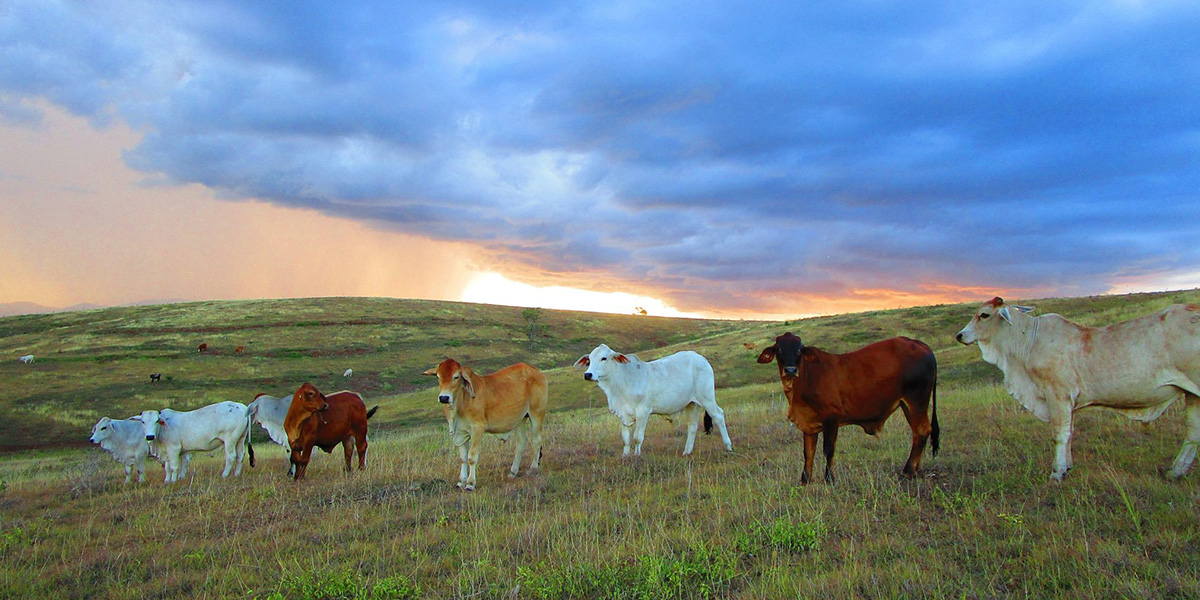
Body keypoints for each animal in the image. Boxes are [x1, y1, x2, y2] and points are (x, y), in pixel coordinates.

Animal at [422, 357, 549, 489]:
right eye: (438, 377)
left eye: (456, 376)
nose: (444, 398)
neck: (462, 400)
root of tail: (536, 371)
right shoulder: (460, 432)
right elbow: (463, 458)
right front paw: (461, 481)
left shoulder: (477, 428)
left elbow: (471, 456)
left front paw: (470, 483)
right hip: (519, 419)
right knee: (521, 442)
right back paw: (513, 472)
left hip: (536, 414)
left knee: (537, 440)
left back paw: (533, 468)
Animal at [573, 345, 729, 456]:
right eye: (589, 360)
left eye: (604, 358)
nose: (588, 374)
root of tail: (701, 358)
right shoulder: (622, 414)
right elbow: (625, 438)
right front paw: (625, 456)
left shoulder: (643, 412)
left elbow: (637, 437)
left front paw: (637, 456)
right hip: (690, 403)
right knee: (692, 425)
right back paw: (687, 451)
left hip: (707, 398)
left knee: (719, 416)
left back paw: (728, 446)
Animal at [753, 331, 940, 484]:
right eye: (779, 349)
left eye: (799, 350)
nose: (791, 370)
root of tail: (919, 343)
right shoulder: (809, 423)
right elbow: (808, 452)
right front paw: (805, 480)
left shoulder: (831, 416)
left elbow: (828, 449)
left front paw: (830, 479)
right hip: (907, 404)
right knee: (918, 433)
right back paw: (915, 469)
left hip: (917, 400)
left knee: (922, 430)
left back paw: (908, 470)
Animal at [960, 297, 1200, 480]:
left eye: (984, 315)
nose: (960, 335)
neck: (1029, 341)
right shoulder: (1068, 402)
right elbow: (1070, 432)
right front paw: (1067, 467)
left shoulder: (1058, 395)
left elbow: (1060, 434)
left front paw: (1057, 473)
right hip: (1193, 395)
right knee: (1193, 432)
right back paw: (1175, 472)